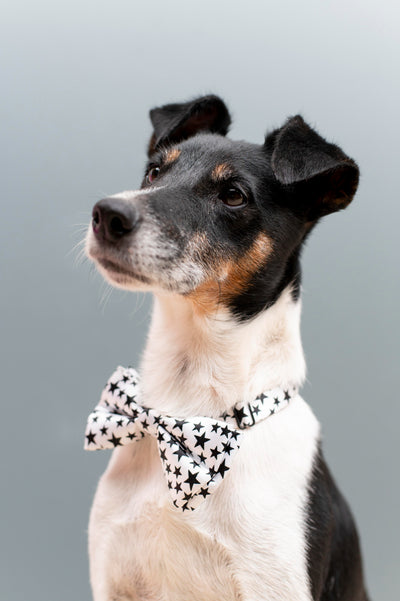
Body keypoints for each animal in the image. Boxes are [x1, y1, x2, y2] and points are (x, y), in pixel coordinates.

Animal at [84, 96, 368, 596]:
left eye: (234, 195)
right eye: (154, 171)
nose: (108, 214)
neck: (189, 409)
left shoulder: (274, 583)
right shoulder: (111, 575)